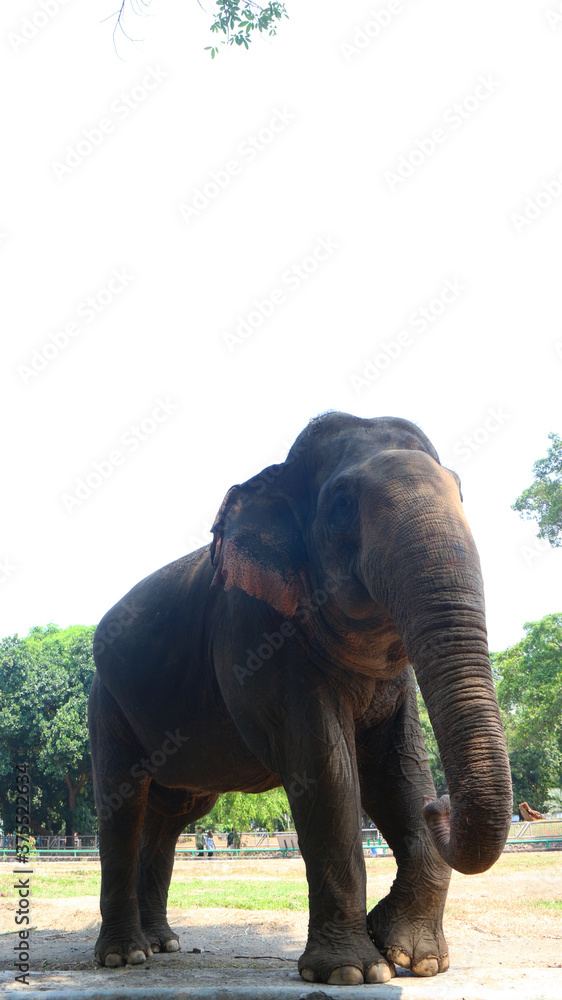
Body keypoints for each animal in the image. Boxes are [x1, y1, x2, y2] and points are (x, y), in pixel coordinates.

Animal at [88, 411, 512, 986]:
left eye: (462, 493)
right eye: (341, 505)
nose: (440, 805)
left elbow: (394, 769)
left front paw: (414, 959)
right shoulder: (256, 634)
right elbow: (326, 770)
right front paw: (354, 971)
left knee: (170, 818)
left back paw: (163, 943)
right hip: (106, 700)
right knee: (123, 803)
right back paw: (124, 956)